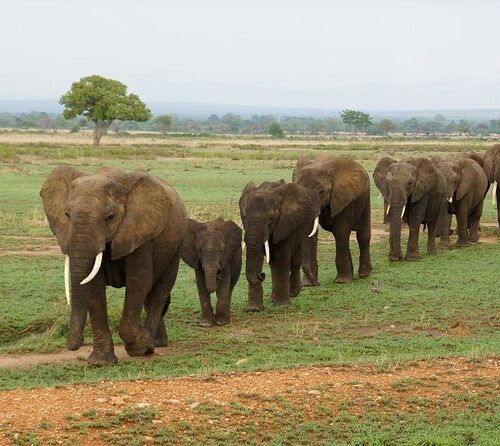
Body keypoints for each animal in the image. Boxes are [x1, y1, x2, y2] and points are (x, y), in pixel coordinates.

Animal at [39, 166, 188, 364]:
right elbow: (94, 286)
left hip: (176, 245)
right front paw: (100, 363)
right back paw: (157, 343)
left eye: (109, 217)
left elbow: (138, 282)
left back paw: (150, 346)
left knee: (161, 290)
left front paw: (138, 348)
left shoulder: (140, 233)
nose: (78, 342)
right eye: (67, 215)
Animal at [239, 179, 318, 312]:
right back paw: (273, 299)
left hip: (304, 226)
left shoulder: (285, 223)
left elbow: (282, 258)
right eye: (244, 217)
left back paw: (293, 293)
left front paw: (281, 306)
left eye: (271, 218)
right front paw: (253, 309)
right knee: (273, 264)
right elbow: (258, 256)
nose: (261, 275)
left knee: (295, 261)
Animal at [292, 155, 372, 284]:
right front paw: (307, 284)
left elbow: (341, 231)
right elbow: (312, 235)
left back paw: (363, 274)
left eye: (321, 192)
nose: (316, 283)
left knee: (362, 236)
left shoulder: (343, 198)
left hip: (365, 199)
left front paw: (342, 282)